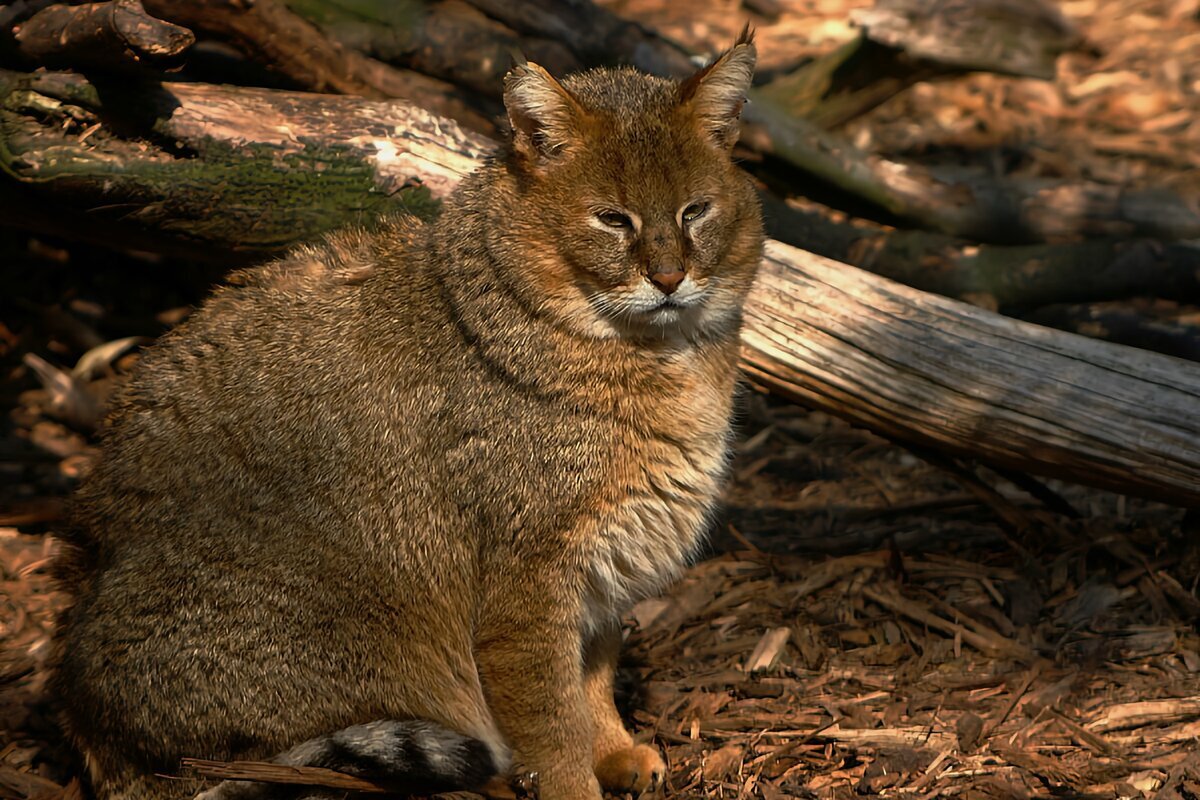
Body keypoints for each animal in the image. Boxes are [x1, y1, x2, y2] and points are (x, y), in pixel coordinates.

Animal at [51, 29, 763, 800]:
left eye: (694, 211)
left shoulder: (605, 570)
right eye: (611, 219)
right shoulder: (527, 585)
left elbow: (591, 679)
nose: (669, 278)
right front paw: (580, 781)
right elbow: (552, 725)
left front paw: (615, 748)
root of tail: (85, 720)